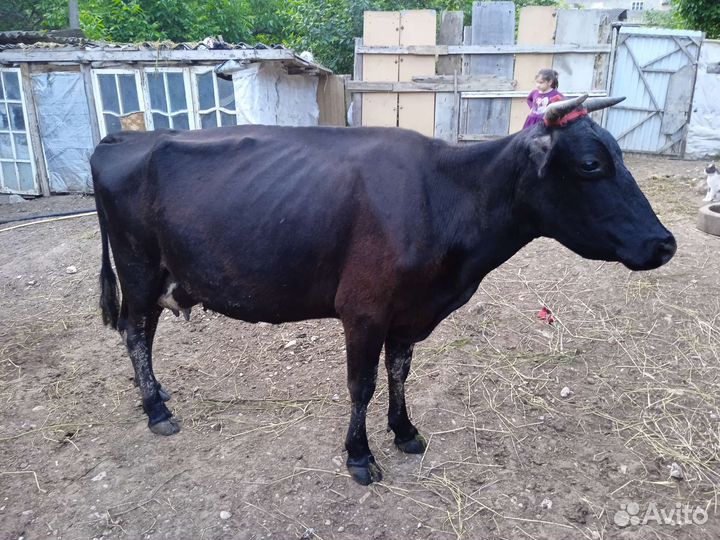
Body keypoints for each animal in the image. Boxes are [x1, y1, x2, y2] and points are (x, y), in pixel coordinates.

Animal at [91, 94, 676, 485]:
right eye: (591, 164)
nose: (665, 243)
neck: (444, 195)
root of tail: (124, 137)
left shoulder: (410, 313)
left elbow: (398, 372)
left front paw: (404, 430)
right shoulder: (363, 310)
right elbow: (362, 385)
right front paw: (359, 455)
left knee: (137, 335)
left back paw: (156, 392)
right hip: (139, 270)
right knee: (134, 332)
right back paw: (156, 410)